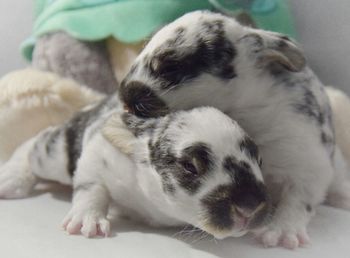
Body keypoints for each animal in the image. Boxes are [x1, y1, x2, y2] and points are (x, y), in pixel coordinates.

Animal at [118, 11, 350, 249]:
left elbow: (299, 200)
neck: (246, 109)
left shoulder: (308, 166)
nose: (123, 96)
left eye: (171, 67)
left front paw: (281, 233)